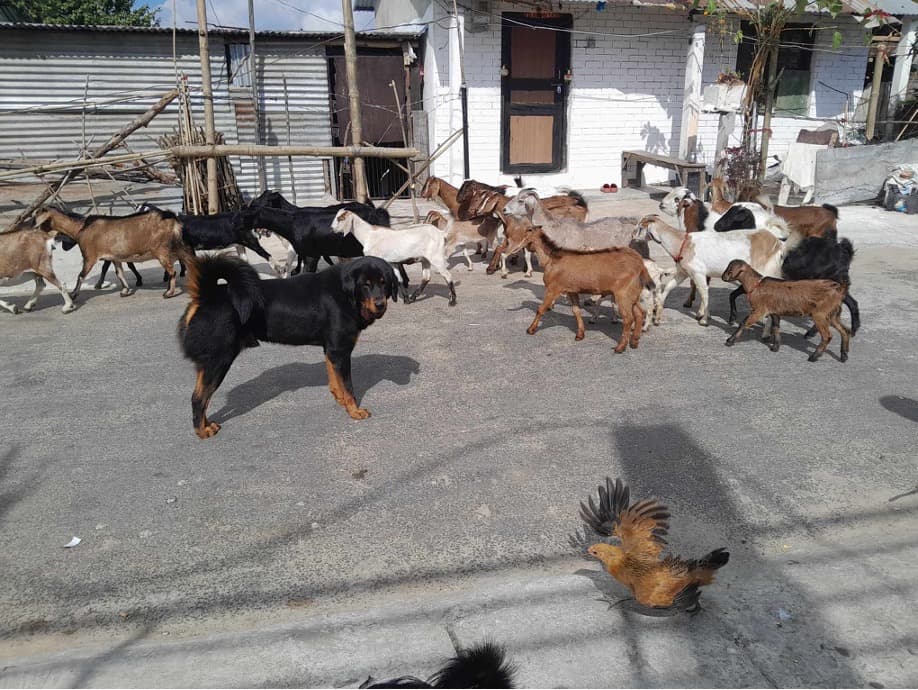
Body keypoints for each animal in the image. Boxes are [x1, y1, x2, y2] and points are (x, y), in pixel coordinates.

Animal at [35, 207, 191, 299]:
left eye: (38, 218)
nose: (34, 229)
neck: (81, 228)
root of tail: (172, 218)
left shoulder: (90, 256)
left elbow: (81, 275)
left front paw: (73, 294)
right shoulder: (115, 257)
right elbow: (119, 273)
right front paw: (125, 291)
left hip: (161, 250)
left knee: (172, 271)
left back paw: (168, 293)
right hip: (176, 247)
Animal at [513, 225, 653, 352]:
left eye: (526, 232)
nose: (515, 248)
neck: (551, 259)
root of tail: (639, 263)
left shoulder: (553, 288)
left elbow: (540, 309)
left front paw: (530, 329)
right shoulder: (572, 290)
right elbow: (576, 311)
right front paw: (580, 335)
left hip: (622, 294)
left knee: (628, 318)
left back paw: (620, 347)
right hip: (632, 294)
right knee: (640, 313)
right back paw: (634, 342)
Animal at [638, 214, 784, 327]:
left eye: (640, 227)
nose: (635, 237)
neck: (683, 243)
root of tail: (776, 242)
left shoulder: (698, 273)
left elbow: (704, 293)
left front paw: (704, 319)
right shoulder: (683, 272)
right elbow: (668, 287)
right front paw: (657, 313)